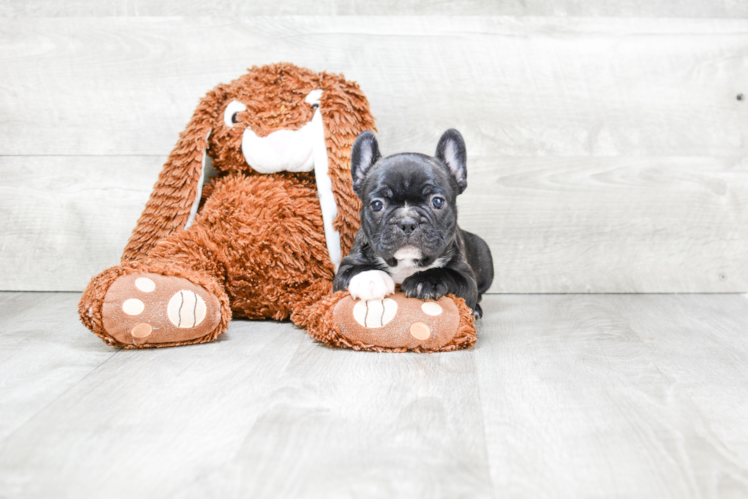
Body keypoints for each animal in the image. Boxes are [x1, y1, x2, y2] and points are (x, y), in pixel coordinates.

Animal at [336, 129, 494, 316]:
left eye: (437, 201)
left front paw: (424, 281)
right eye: (377, 205)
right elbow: (354, 270)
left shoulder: (466, 278)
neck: (406, 264)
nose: (407, 222)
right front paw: (371, 279)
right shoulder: (345, 267)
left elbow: (448, 273)